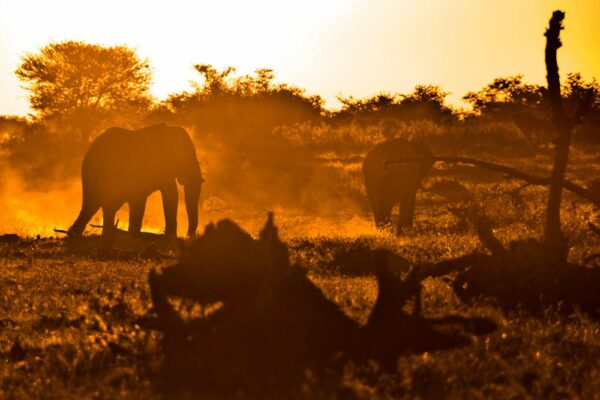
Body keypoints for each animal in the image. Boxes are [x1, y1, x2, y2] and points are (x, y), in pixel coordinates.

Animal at [68, 124, 202, 238]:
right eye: (185, 155)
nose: (188, 235)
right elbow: (171, 193)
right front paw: (170, 237)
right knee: (100, 204)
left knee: (95, 206)